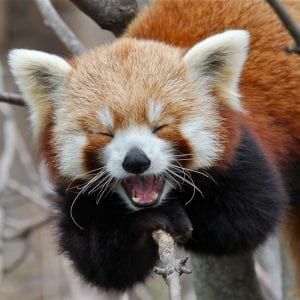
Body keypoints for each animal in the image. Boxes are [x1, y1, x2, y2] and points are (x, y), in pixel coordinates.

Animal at [6, 0, 300, 296]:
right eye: (105, 133)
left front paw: (176, 215)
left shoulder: (242, 148)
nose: (136, 161)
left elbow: (250, 217)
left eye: (160, 126)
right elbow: (103, 265)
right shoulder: (78, 197)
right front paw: (148, 220)